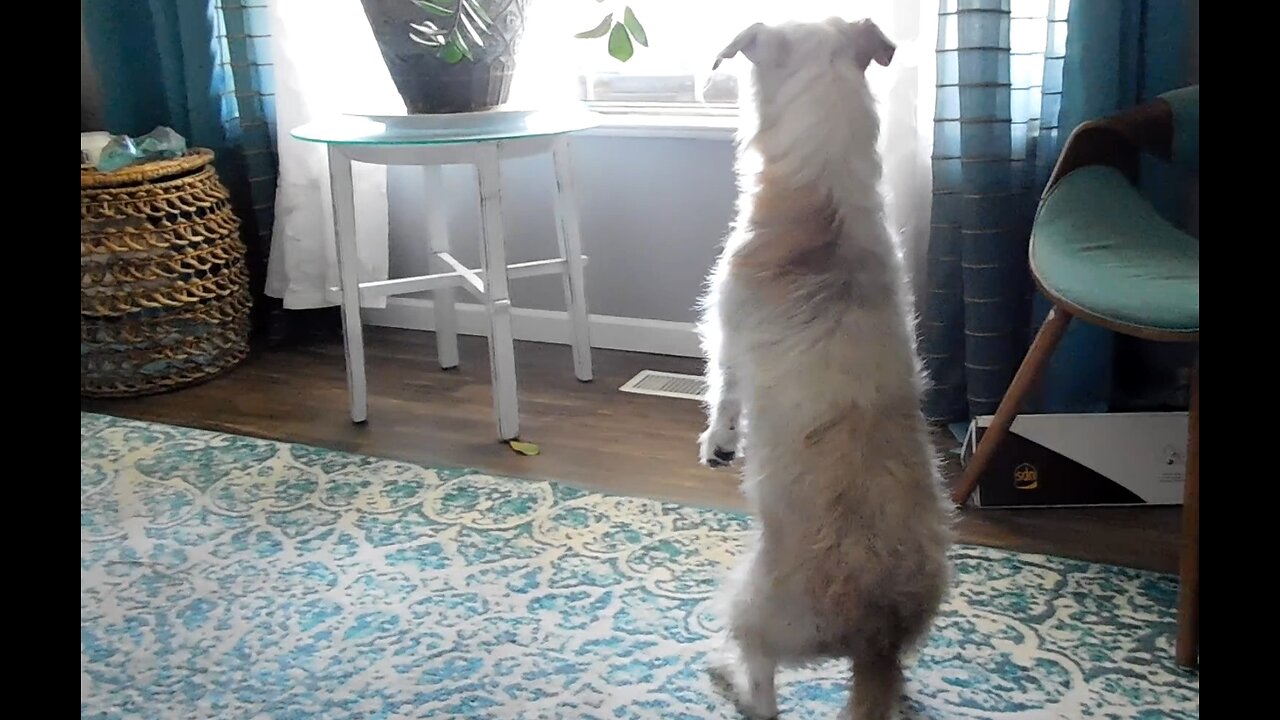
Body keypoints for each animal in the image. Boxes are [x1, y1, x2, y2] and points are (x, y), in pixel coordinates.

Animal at [696, 16, 957, 717]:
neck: (825, 199)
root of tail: (877, 638)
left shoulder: (725, 328)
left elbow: (723, 389)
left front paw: (719, 444)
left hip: (751, 605)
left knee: (763, 695)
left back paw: (728, 675)